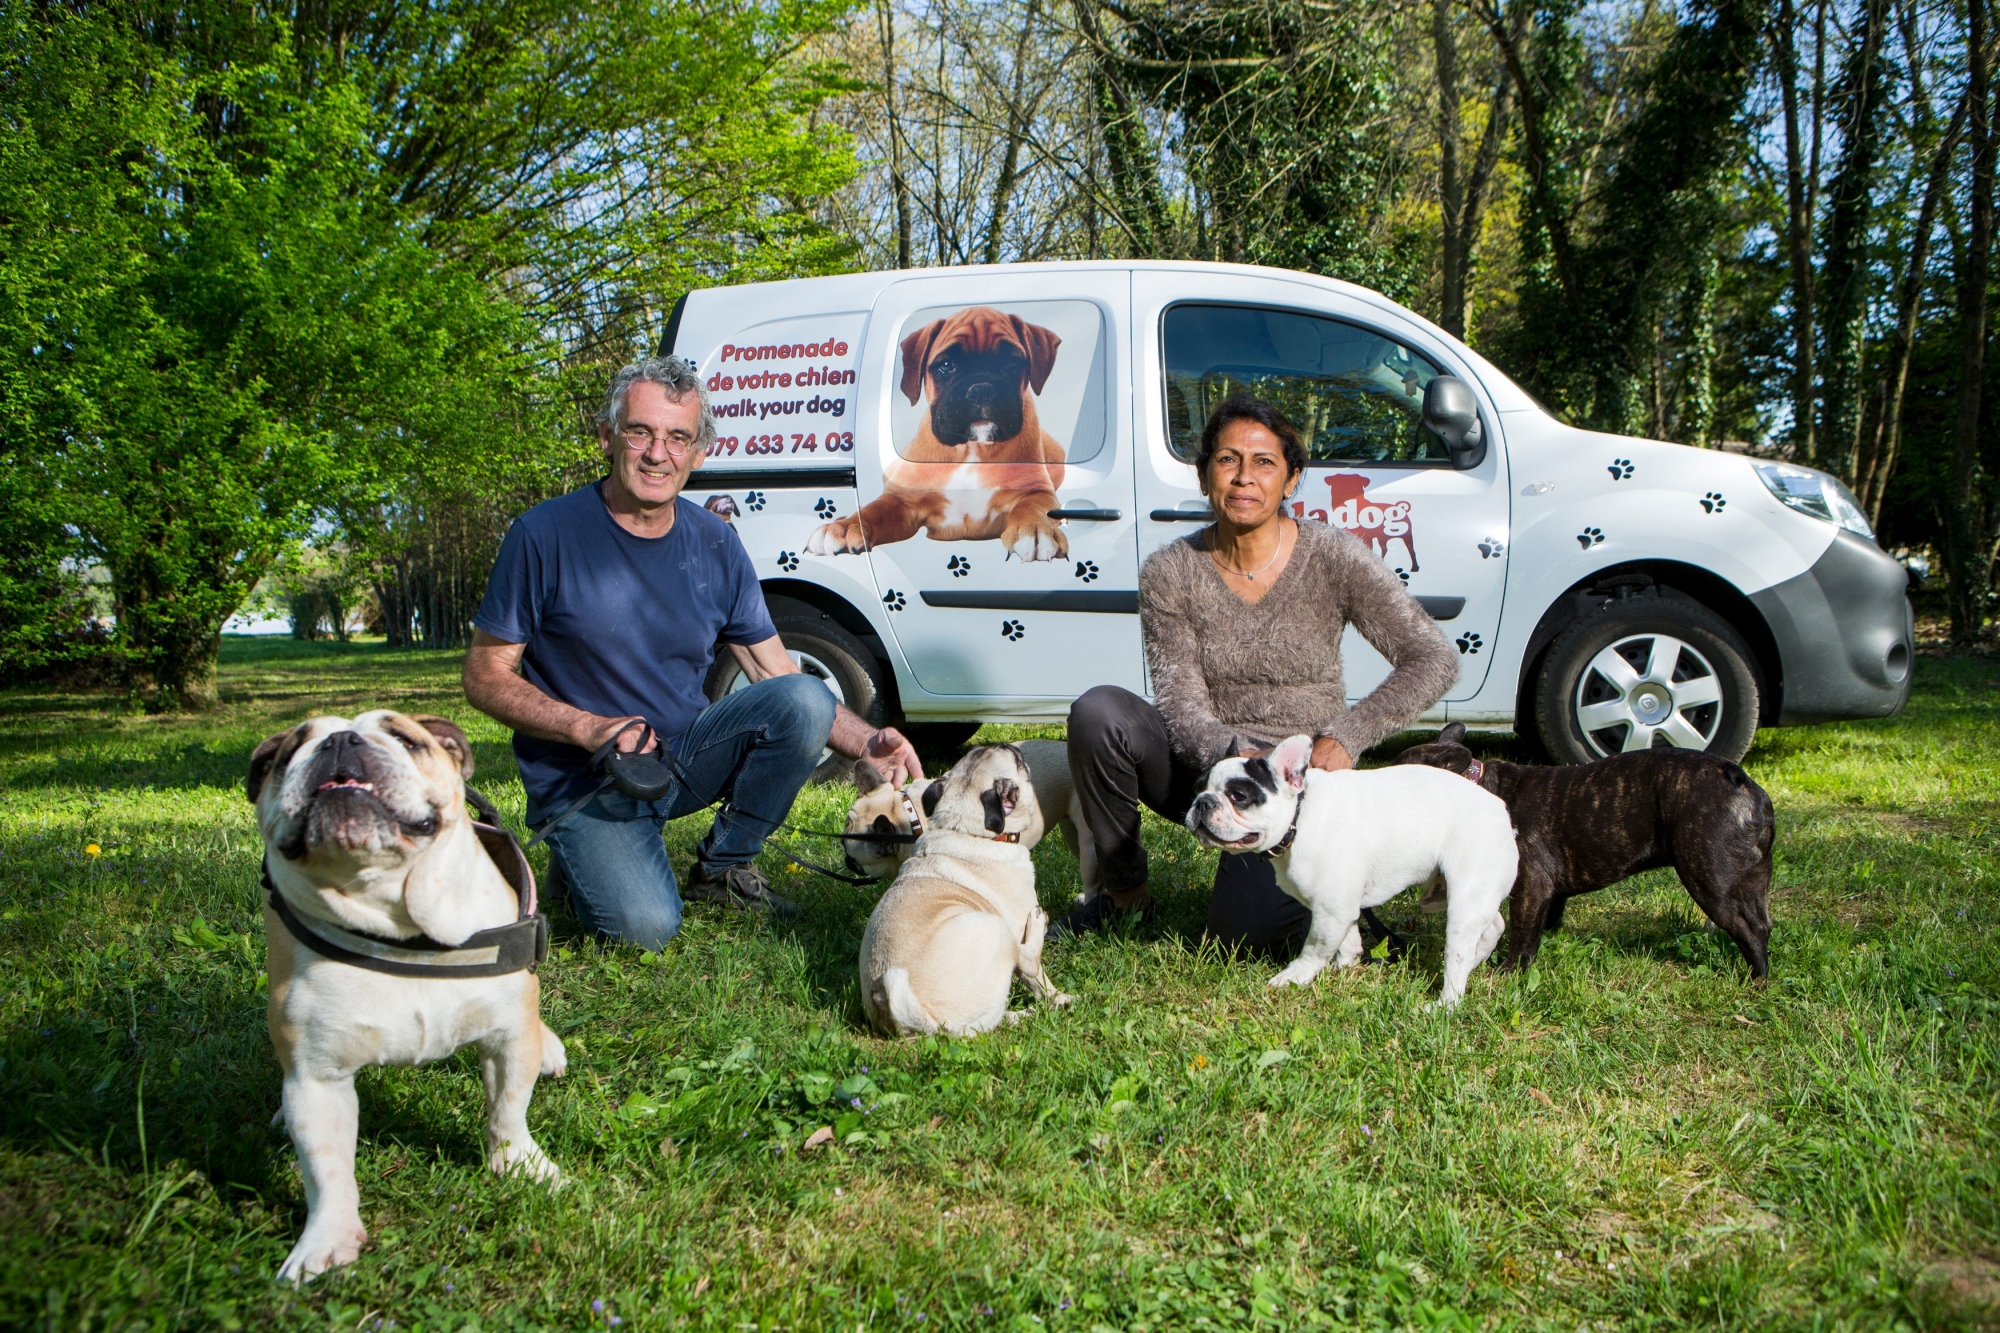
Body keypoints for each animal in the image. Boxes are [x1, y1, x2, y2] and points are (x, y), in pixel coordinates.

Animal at [1184, 732, 1512, 1000]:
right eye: (1197, 788)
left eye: (1238, 796)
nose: (1202, 802)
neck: (1299, 816)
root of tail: (1500, 808)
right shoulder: (1342, 907)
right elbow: (1348, 941)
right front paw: (1343, 970)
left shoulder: (1331, 911)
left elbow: (1315, 947)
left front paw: (1294, 977)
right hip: (1462, 892)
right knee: (1494, 924)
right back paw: (1477, 959)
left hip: (1464, 898)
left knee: (1458, 953)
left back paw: (1446, 1003)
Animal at [1400, 720, 1776, 972]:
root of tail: (1739, 779)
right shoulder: (1548, 891)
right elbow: (1543, 924)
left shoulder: (1531, 886)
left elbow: (1523, 931)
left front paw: (1510, 970)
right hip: (1750, 877)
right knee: (1762, 920)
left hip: (1710, 878)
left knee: (1748, 928)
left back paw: (1755, 979)